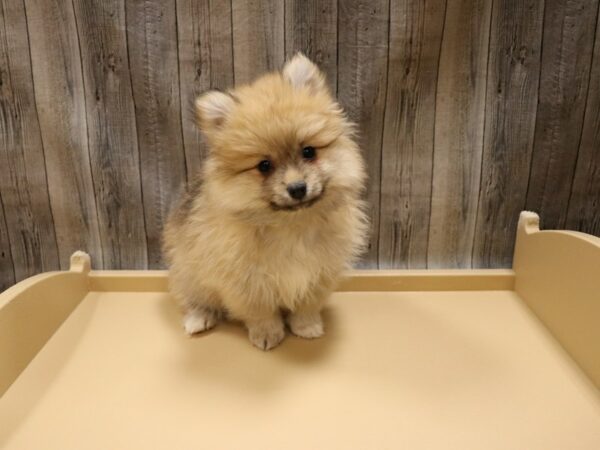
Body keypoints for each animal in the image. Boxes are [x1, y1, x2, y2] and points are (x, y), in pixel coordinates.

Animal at [164, 51, 370, 348]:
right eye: (264, 166)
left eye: (308, 152)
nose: (297, 188)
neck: (290, 225)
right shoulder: (245, 281)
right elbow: (260, 312)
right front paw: (267, 334)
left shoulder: (319, 272)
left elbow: (307, 305)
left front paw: (306, 326)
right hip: (188, 271)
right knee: (195, 298)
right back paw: (198, 318)